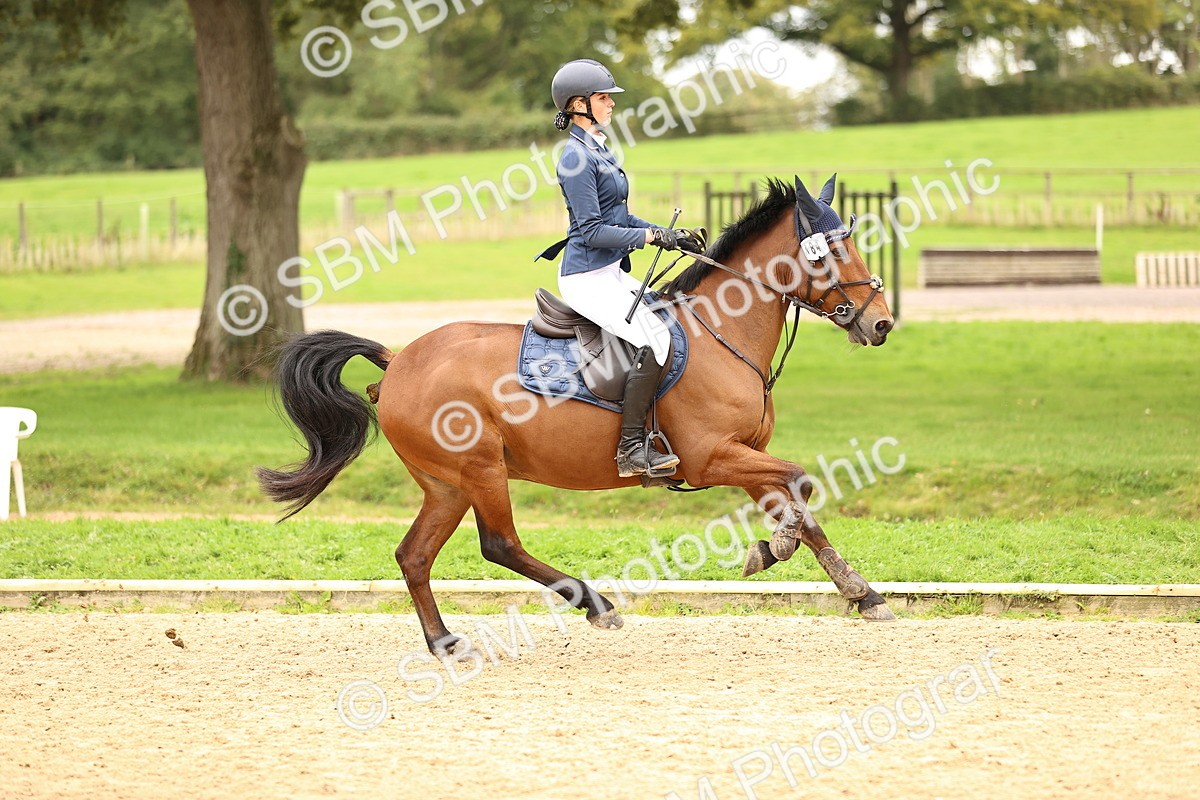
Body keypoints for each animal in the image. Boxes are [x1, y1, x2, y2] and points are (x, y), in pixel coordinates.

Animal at [258, 175, 897, 656]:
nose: (881, 323)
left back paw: (443, 642)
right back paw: (596, 605)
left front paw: (860, 593)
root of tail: (399, 361)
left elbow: (802, 508)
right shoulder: (713, 457)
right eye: (832, 251)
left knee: (414, 554)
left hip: (446, 484)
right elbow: (800, 482)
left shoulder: (747, 455)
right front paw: (774, 550)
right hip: (481, 469)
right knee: (499, 544)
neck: (724, 331)